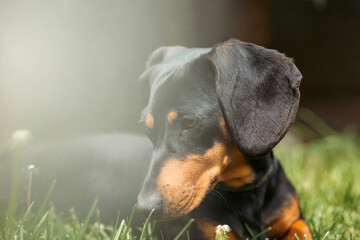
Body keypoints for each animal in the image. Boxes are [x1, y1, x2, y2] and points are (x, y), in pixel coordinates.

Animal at [136, 38, 310, 239]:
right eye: (146, 128)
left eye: (189, 122)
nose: (145, 209)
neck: (245, 192)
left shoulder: (294, 217)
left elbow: (302, 231)